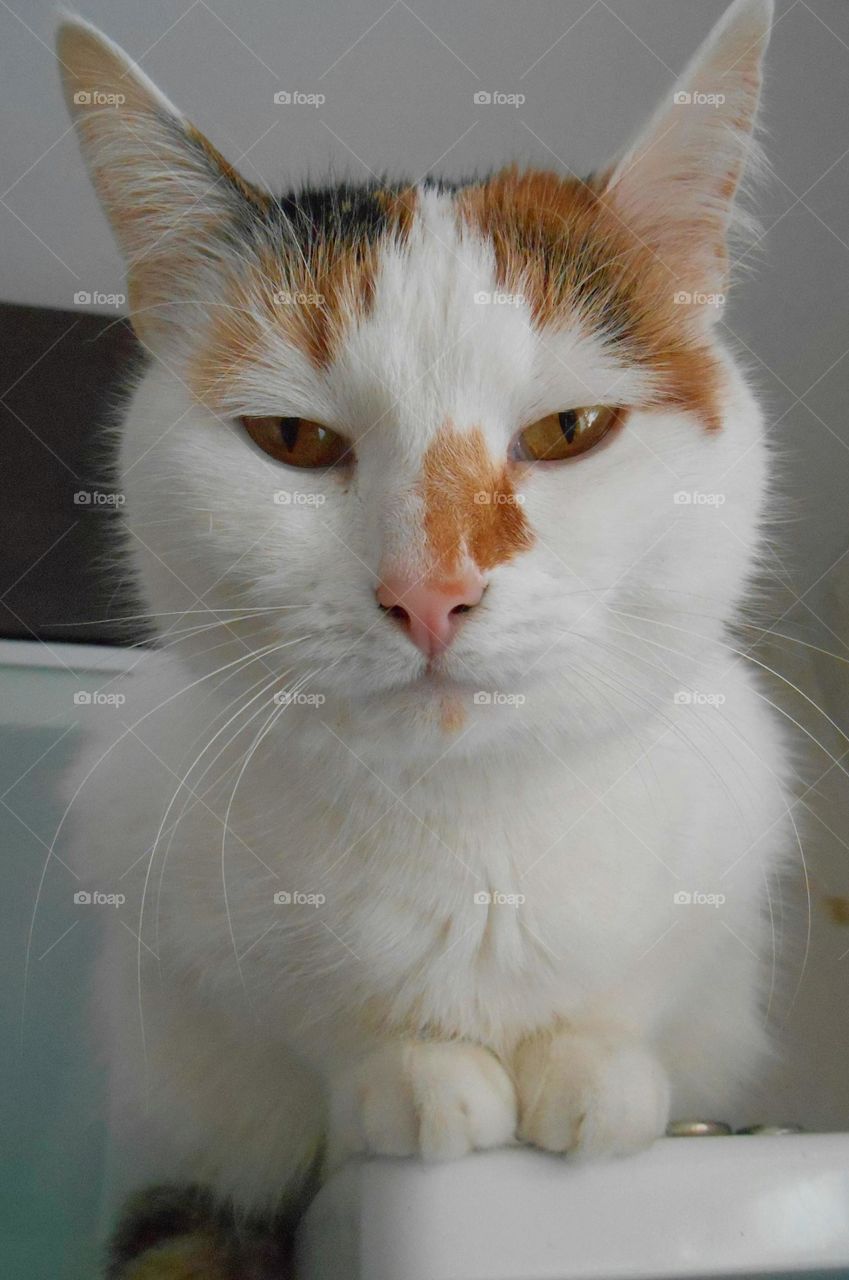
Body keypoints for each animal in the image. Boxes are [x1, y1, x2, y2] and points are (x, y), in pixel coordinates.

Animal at [56, 2, 793, 1269]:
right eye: (293, 437)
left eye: (571, 428)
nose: (430, 591)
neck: (474, 834)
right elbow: (311, 1025)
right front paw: (412, 1071)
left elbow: (639, 990)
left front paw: (597, 1067)